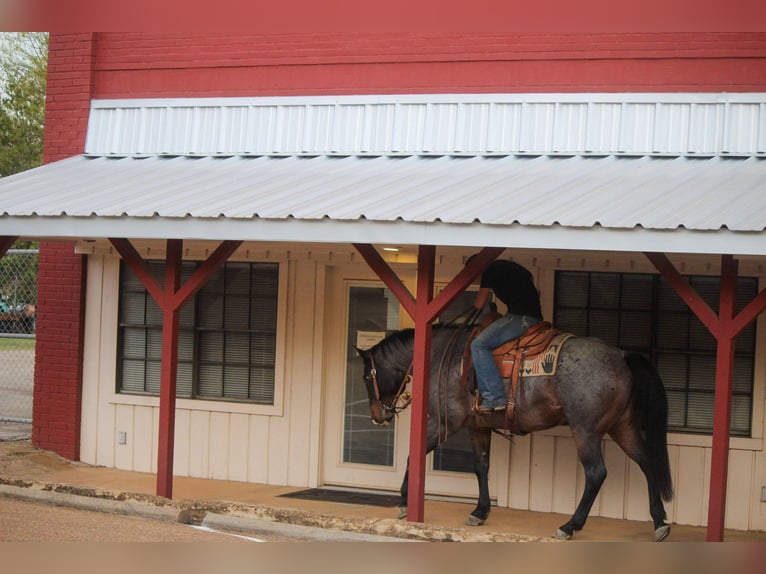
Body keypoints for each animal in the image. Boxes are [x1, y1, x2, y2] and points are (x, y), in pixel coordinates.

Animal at [356, 326, 676, 544]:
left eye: (366, 376)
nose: (378, 415)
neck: (441, 356)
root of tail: (622, 356)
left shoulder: (445, 423)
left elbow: (415, 454)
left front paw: (402, 501)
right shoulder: (478, 426)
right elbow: (481, 466)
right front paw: (480, 511)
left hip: (585, 431)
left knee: (596, 473)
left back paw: (569, 526)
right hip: (623, 427)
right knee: (647, 463)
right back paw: (659, 521)